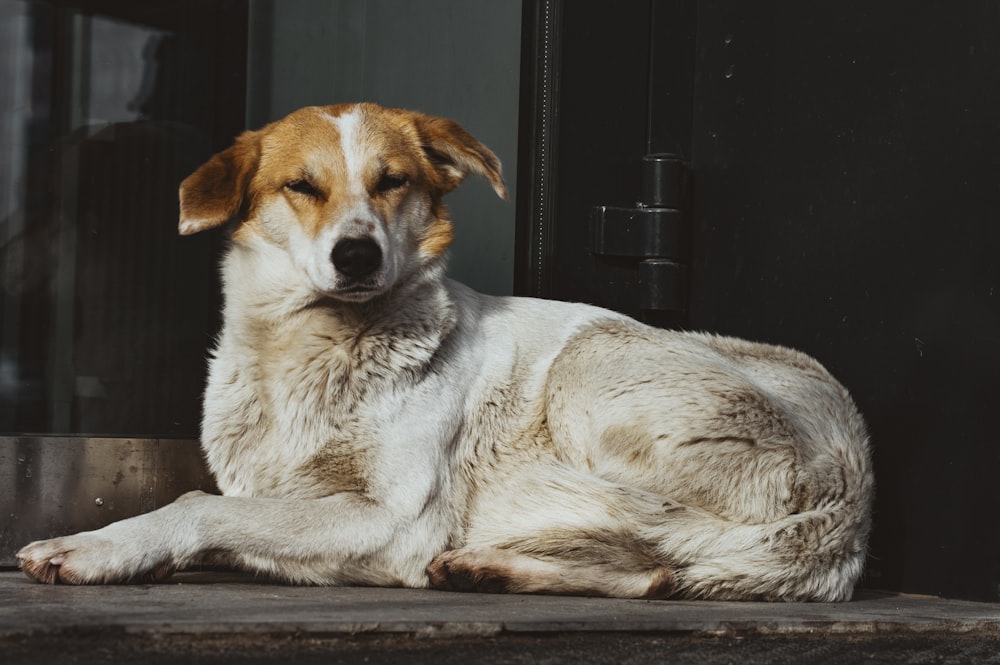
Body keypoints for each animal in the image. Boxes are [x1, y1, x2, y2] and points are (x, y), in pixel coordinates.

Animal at [17, 104, 876, 600]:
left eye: (393, 180)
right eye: (302, 186)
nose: (357, 255)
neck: (310, 354)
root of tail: (853, 493)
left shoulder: (395, 515)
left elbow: (199, 504)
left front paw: (100, 546)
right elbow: (235, 511)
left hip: (594, 366)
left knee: (657, 549)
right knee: (657, 570)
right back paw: (489, 565)